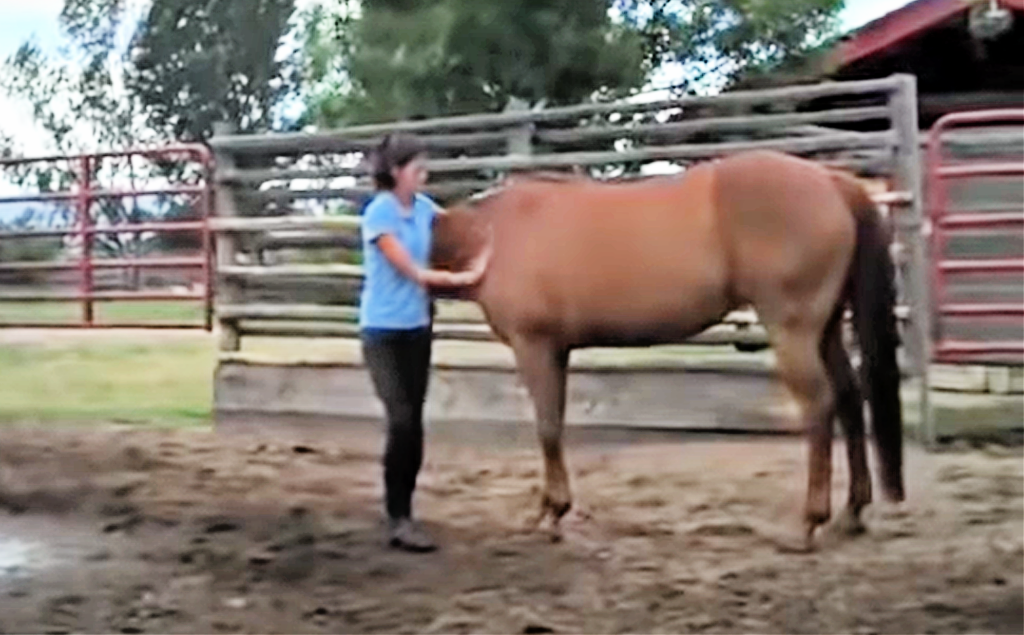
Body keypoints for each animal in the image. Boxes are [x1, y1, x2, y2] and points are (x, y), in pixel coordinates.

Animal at [430, 150, 905, 551]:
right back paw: (852, 512)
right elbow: (556, 424)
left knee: (819, 404)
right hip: (826, 329)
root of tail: (831, 179)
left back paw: (809, 522)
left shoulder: (535, 346)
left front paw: (552, 514)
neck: (492, 236)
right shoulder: (557, 351)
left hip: (794, 330)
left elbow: (547, 427)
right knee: (848, 396)